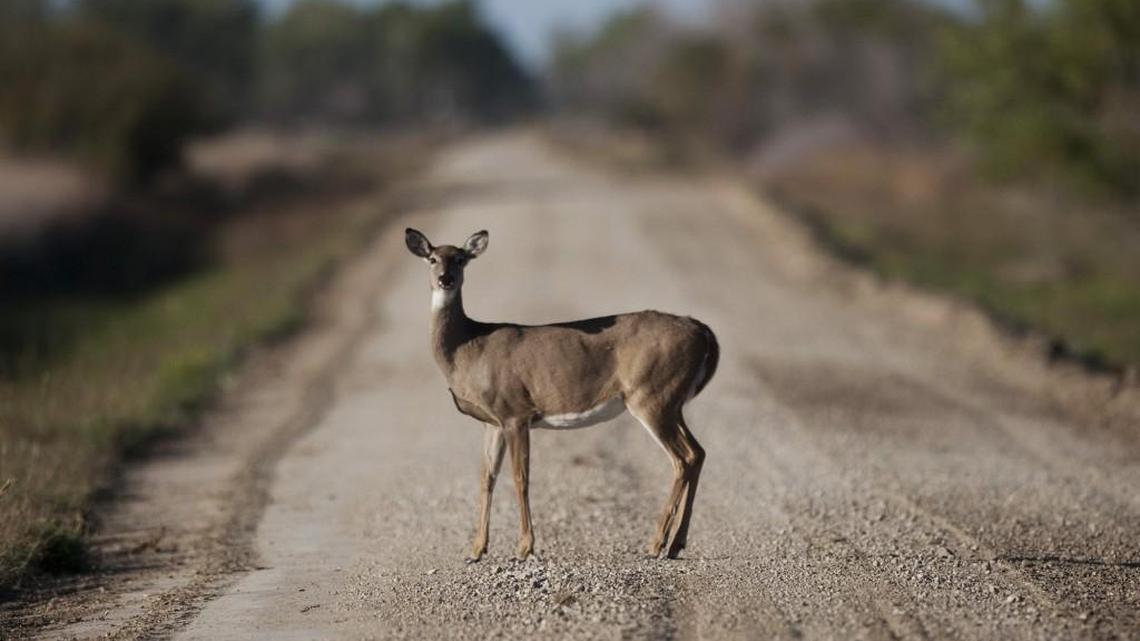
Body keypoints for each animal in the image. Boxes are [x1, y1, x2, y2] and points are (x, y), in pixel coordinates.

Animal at [404, 228, 718, 561]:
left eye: (461, 259)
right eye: (432, 258)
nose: (445, 279)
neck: (467, 348)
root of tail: (702, 330)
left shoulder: (515, 411)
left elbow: (521, 477)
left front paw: (524, 547)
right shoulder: (493, 421)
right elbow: (486, 477)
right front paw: (476, 550)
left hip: (651, 395)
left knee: (683, 458)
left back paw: (656, 544)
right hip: (671, 401)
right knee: (698, 452)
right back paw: (675, 544)